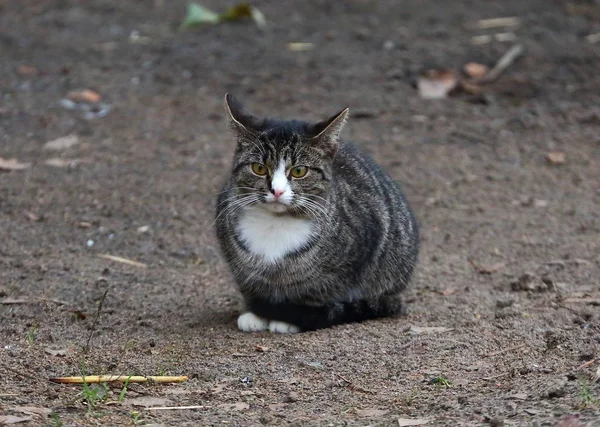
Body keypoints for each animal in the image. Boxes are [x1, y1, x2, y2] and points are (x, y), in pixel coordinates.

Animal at [214, 93, 418, 334]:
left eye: (299, 171)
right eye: (259, 168)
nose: (277, 190)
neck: (275, 224)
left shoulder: (346, 266)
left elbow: (313, 293)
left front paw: (287, 317)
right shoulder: (238, 264)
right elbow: (251, 285)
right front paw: (256, 313)